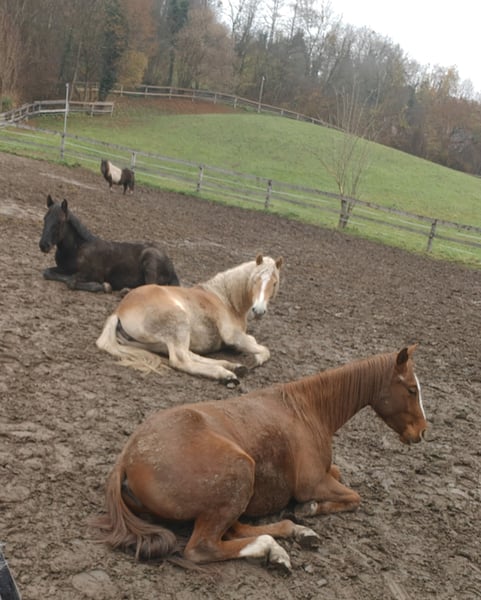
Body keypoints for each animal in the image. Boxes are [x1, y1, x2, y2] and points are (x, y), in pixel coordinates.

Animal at [39, 195, 179, 293]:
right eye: (45, 218)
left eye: (59, 222)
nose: (43, 245)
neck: (76, 249)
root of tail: (172, 268)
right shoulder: (64, 268)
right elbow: (47, 272)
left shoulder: (93, 274)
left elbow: (72, 281)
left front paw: (104, 286)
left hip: (150, 260)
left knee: (150, 286)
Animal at [90, 345, 427, 571]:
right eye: (412, 389)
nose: (422, 432)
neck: (306, 409)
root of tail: (127, 459)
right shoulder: (311, 483)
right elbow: (353, 497)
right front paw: (309, 509)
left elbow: (341, 475)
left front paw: (304, 516)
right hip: (241, 472)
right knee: (205, 547)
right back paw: (274, 547)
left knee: (236, 528)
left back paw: (292, 535)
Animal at [96, 254, 283, 383]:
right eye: (255, 280)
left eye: (274, 283)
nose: (259, 310)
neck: (224, 298)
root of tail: (119, 310)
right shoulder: (233, 336)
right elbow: (265, 350)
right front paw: (255, 359)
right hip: (179, 323)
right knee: (181, 360)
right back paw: (226, 374)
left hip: (158, 342)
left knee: (189, 354)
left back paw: (233, 366)